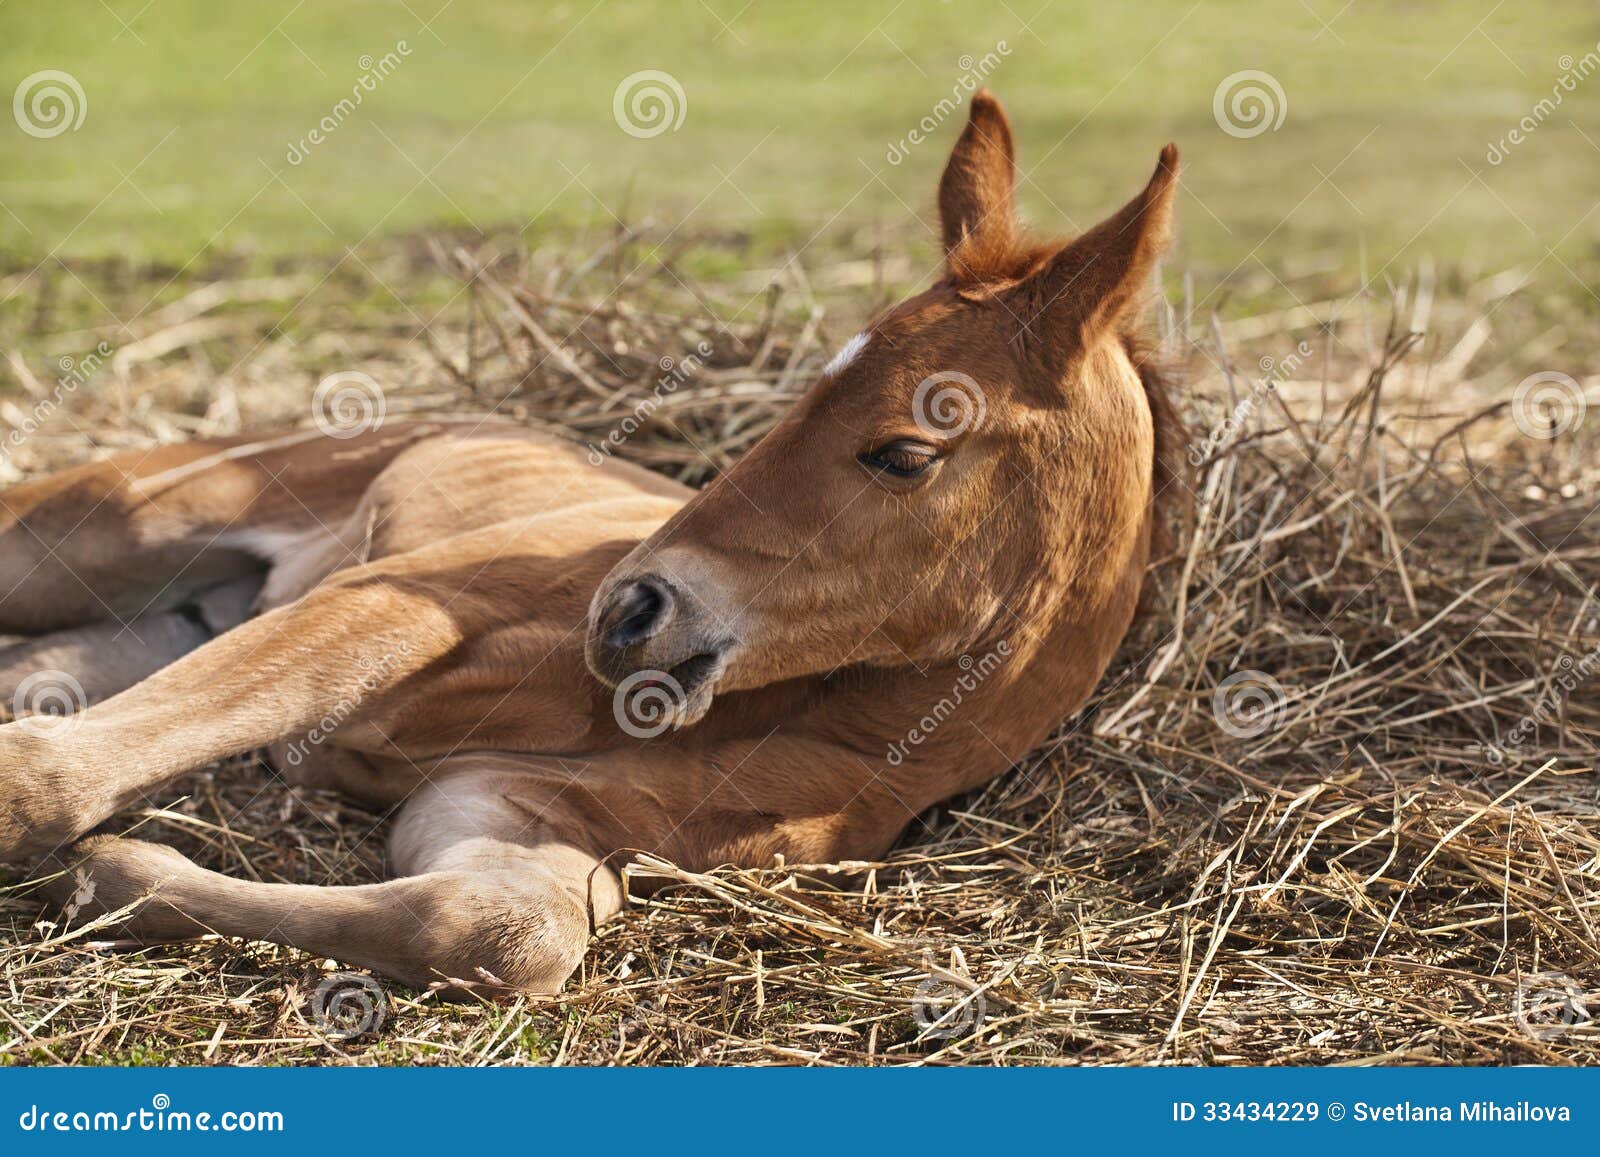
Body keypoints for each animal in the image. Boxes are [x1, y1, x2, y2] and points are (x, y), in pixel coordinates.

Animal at [0, 91, 1184, 994]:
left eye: (901, 451)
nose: (626, 609)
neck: (815, 723)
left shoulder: (513, 807)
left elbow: (497, 930)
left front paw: (105, 874)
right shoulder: (384, 602)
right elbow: (44, 776)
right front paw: (77, 853)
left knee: (52, 669)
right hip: (110, 526)